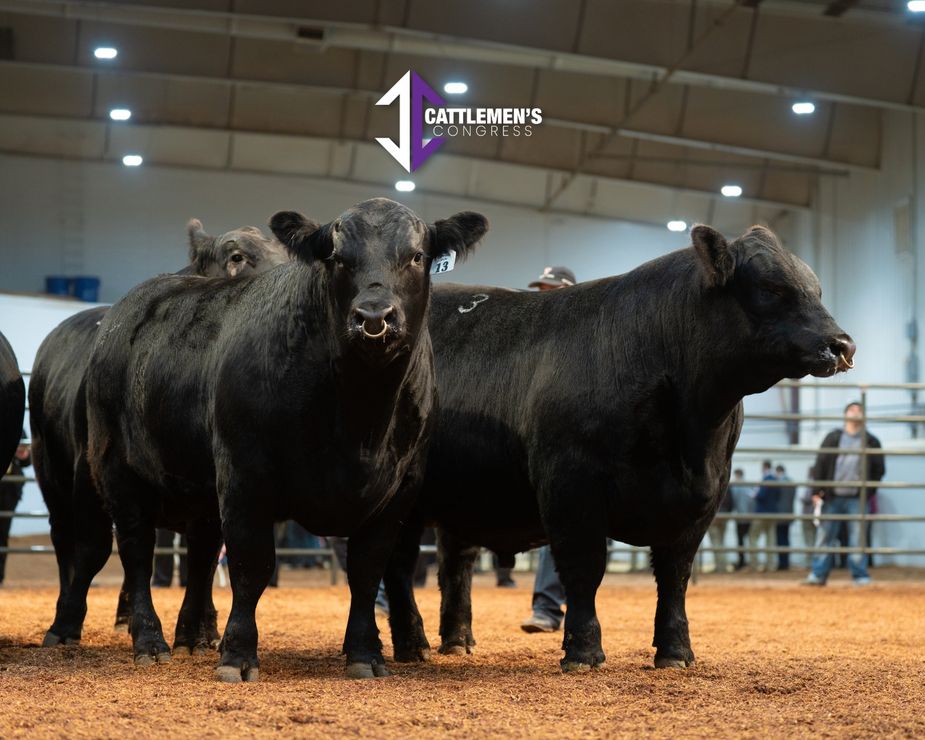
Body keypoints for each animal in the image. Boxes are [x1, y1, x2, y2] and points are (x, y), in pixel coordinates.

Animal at [29, 221, 288, 649]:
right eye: (236, 256)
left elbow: (203, 558)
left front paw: (195, 630)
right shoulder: (95, 469)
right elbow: (96, 549)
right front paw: (66, 624)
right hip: (51, 473)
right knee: (67, 543)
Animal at [85, 198, 488, 681]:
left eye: (416, 256)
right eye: (336, 257)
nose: (374, 317)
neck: (359, 419)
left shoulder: (399, 488)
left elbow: (367, 571)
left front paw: (365, 654)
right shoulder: (245, 473)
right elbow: (251, 565)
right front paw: (238, 656)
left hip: (202, 491)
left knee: (200, 557)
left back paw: (192, 639)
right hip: (117, 468)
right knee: (137, 552)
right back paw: (151, 641)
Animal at [381, 224, 855, 673]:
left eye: (816, 288)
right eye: (771, 288)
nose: (842, 345)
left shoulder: (705, 497)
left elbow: (675, 576)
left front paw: (676, 651)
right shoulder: (571, 486)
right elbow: (584, 568)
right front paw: (583, 651)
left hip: (463, 493)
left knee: (454, 562)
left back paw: (457, 640)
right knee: (400, 565)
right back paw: (412, 645)